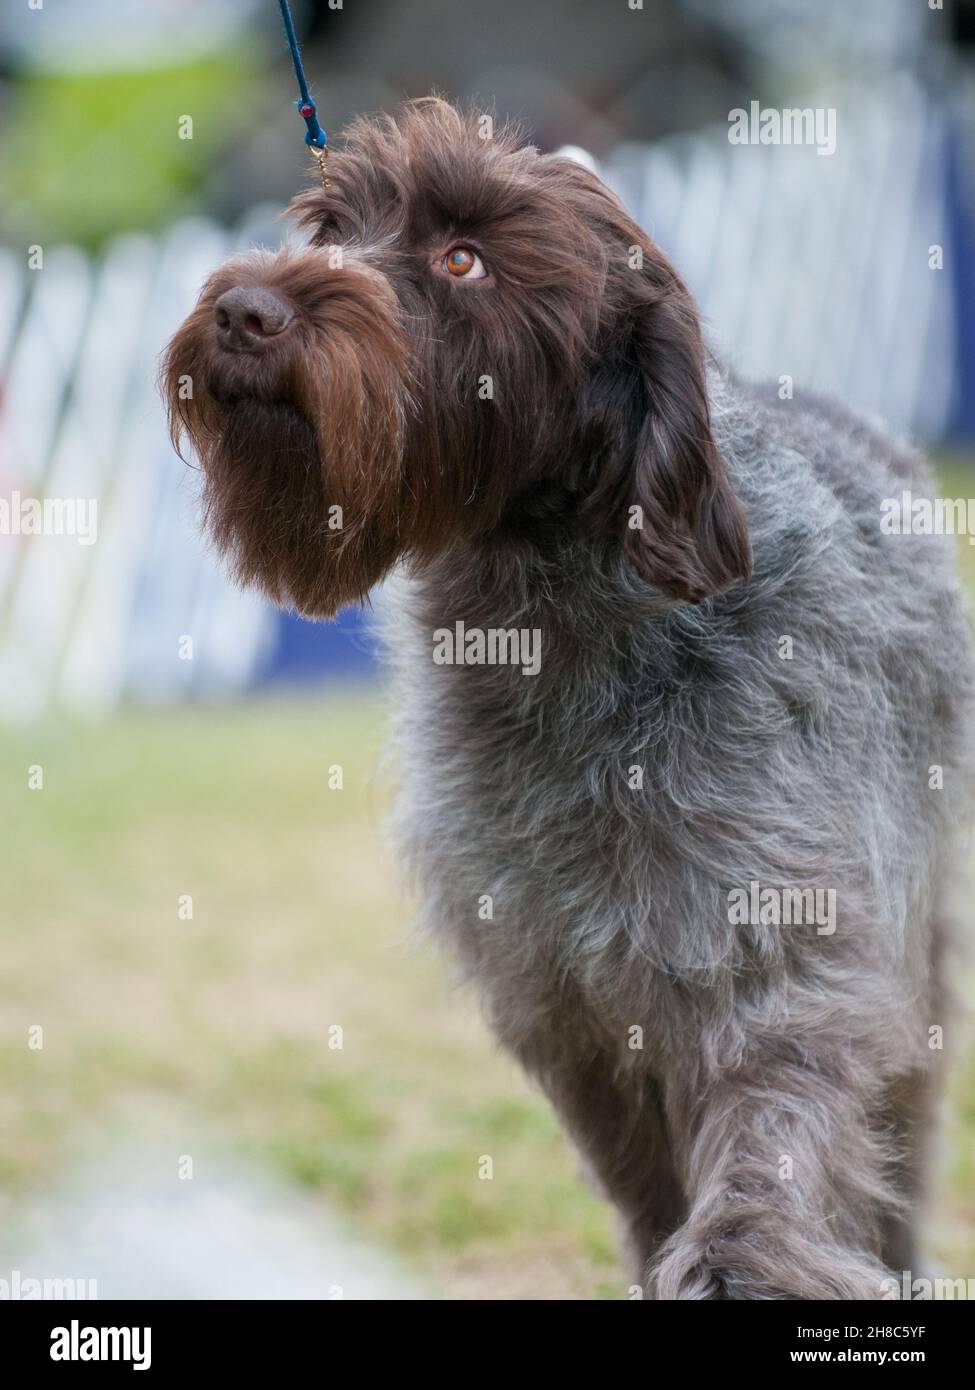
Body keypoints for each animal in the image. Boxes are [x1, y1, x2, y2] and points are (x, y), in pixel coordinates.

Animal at [161, 100, 973, 1301]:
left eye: (465, 259)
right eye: (331, 228)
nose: (242, 309)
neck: (556, 631)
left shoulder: (783, 945)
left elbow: (773, 1123)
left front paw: (742, 1261)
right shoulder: (560, 1004)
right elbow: (647, 1177)